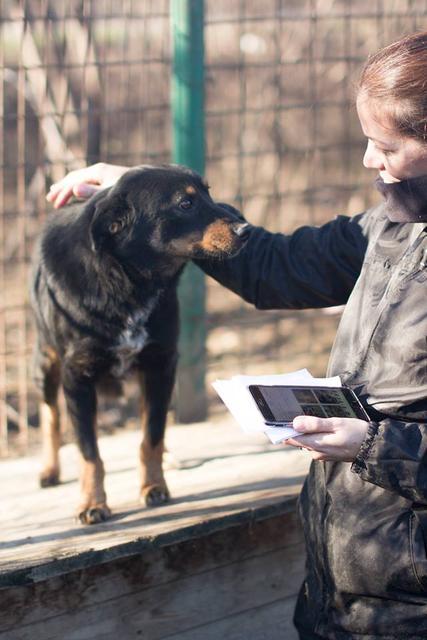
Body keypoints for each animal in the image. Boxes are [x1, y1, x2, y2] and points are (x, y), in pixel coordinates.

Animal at [30, 165, 249, 524]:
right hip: (45, 362)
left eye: (209, 193)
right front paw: (92, 503)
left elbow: (152, 436)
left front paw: (153, 487)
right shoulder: (77, 377)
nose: (246, 230)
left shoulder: (160, 365)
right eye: (186, 203)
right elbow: (89, 452)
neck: (127, 283)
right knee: (50, 414)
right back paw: (49, 469)